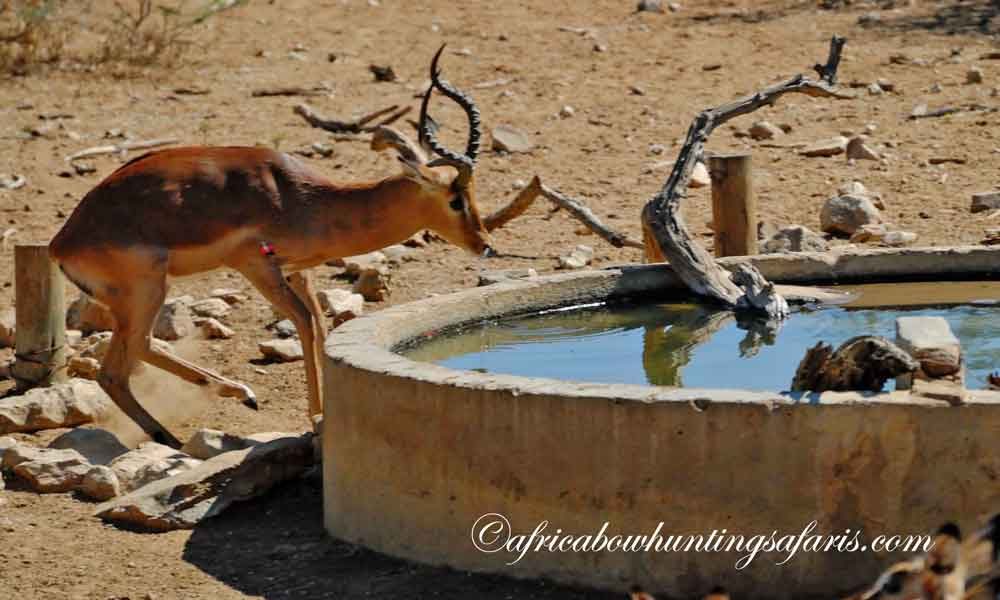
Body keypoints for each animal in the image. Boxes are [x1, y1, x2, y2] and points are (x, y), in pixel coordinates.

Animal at [49, 45, 492, 449]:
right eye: (454, 198)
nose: (484, 244)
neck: (304, 199)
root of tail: (62, 243)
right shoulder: (255, 264)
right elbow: (305, 323)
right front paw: (317, 419)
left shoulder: (297, 270)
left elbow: (319, 325)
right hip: (148, 289)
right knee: (122, 362)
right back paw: (214, 410)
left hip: (141, 296)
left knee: (127, 358)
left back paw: (196, 420)